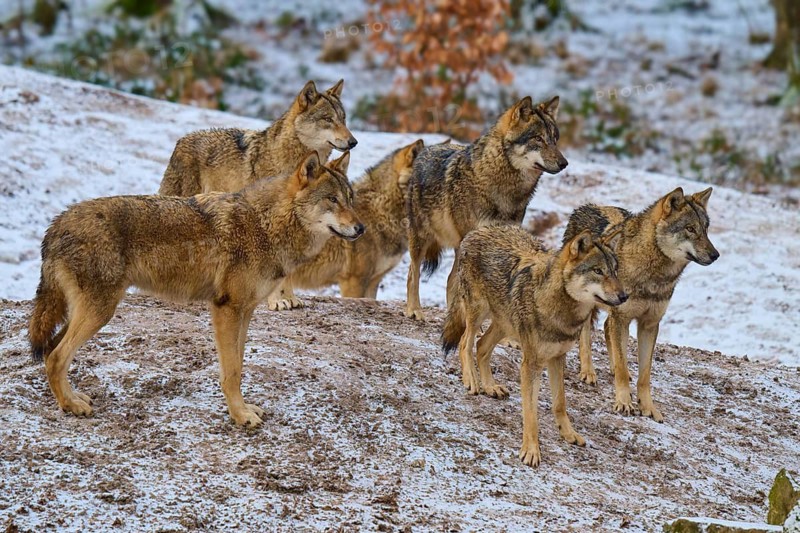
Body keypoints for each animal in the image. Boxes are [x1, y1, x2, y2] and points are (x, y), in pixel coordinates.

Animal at [28, 152, 363, 427]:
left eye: (349, 198)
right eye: (332, 200)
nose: (361, 229)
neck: (266, 224)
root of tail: (55, 224)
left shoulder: (245, 312)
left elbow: (239, 365)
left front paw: (244, 409)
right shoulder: (226, 309)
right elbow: (232, 372)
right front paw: (240, 416)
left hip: (87, 312)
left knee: (51, 352)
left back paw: (73, 398)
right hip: (100, 312)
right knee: (56, 357)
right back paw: (71, 406)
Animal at [268, 139, 424, 309]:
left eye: (350, 198)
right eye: (333, 199)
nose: (361, 229)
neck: (381, 211)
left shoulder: (373, 282)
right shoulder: (353, 281)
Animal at [404, 96, 568, 320]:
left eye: (554, 139)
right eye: (538, 138)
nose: (564, 163)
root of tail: (427, 149)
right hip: (422, 238)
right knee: (414, 273)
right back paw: (414, 310)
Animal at [442, 224, 626, 467]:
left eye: (615, 270)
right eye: (597, 271)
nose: (624, 296)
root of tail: (478, 229)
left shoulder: (557, 358)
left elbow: (560, 402)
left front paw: (568, 434)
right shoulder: (531, 364)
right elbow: (531, 413)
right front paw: (530, 451)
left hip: (503, 323)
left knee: (481, 346)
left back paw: (490, 387)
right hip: (478, 313)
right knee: (466, 342)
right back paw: (471, 380)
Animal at [563, 187, 719, 422]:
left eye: (706, 229)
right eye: (690, 229)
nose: (715, 255)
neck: (655, 276)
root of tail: (588, 206)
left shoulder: (649, 324)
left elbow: (644, 375)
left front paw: (648, 407)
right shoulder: (622, 318)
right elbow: (621, 367)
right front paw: (624, 402)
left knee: (607, 330)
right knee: (586, 336)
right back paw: (588, 372)